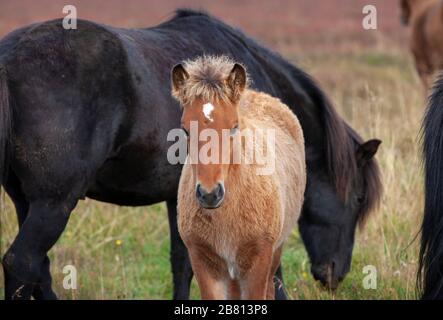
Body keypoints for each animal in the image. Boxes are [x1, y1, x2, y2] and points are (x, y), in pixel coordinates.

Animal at [172, 55, 306, 300]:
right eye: (185, 130)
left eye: (234, 127)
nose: (209, 194)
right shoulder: (203, 260)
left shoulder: (259, 260)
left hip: (274, 252)